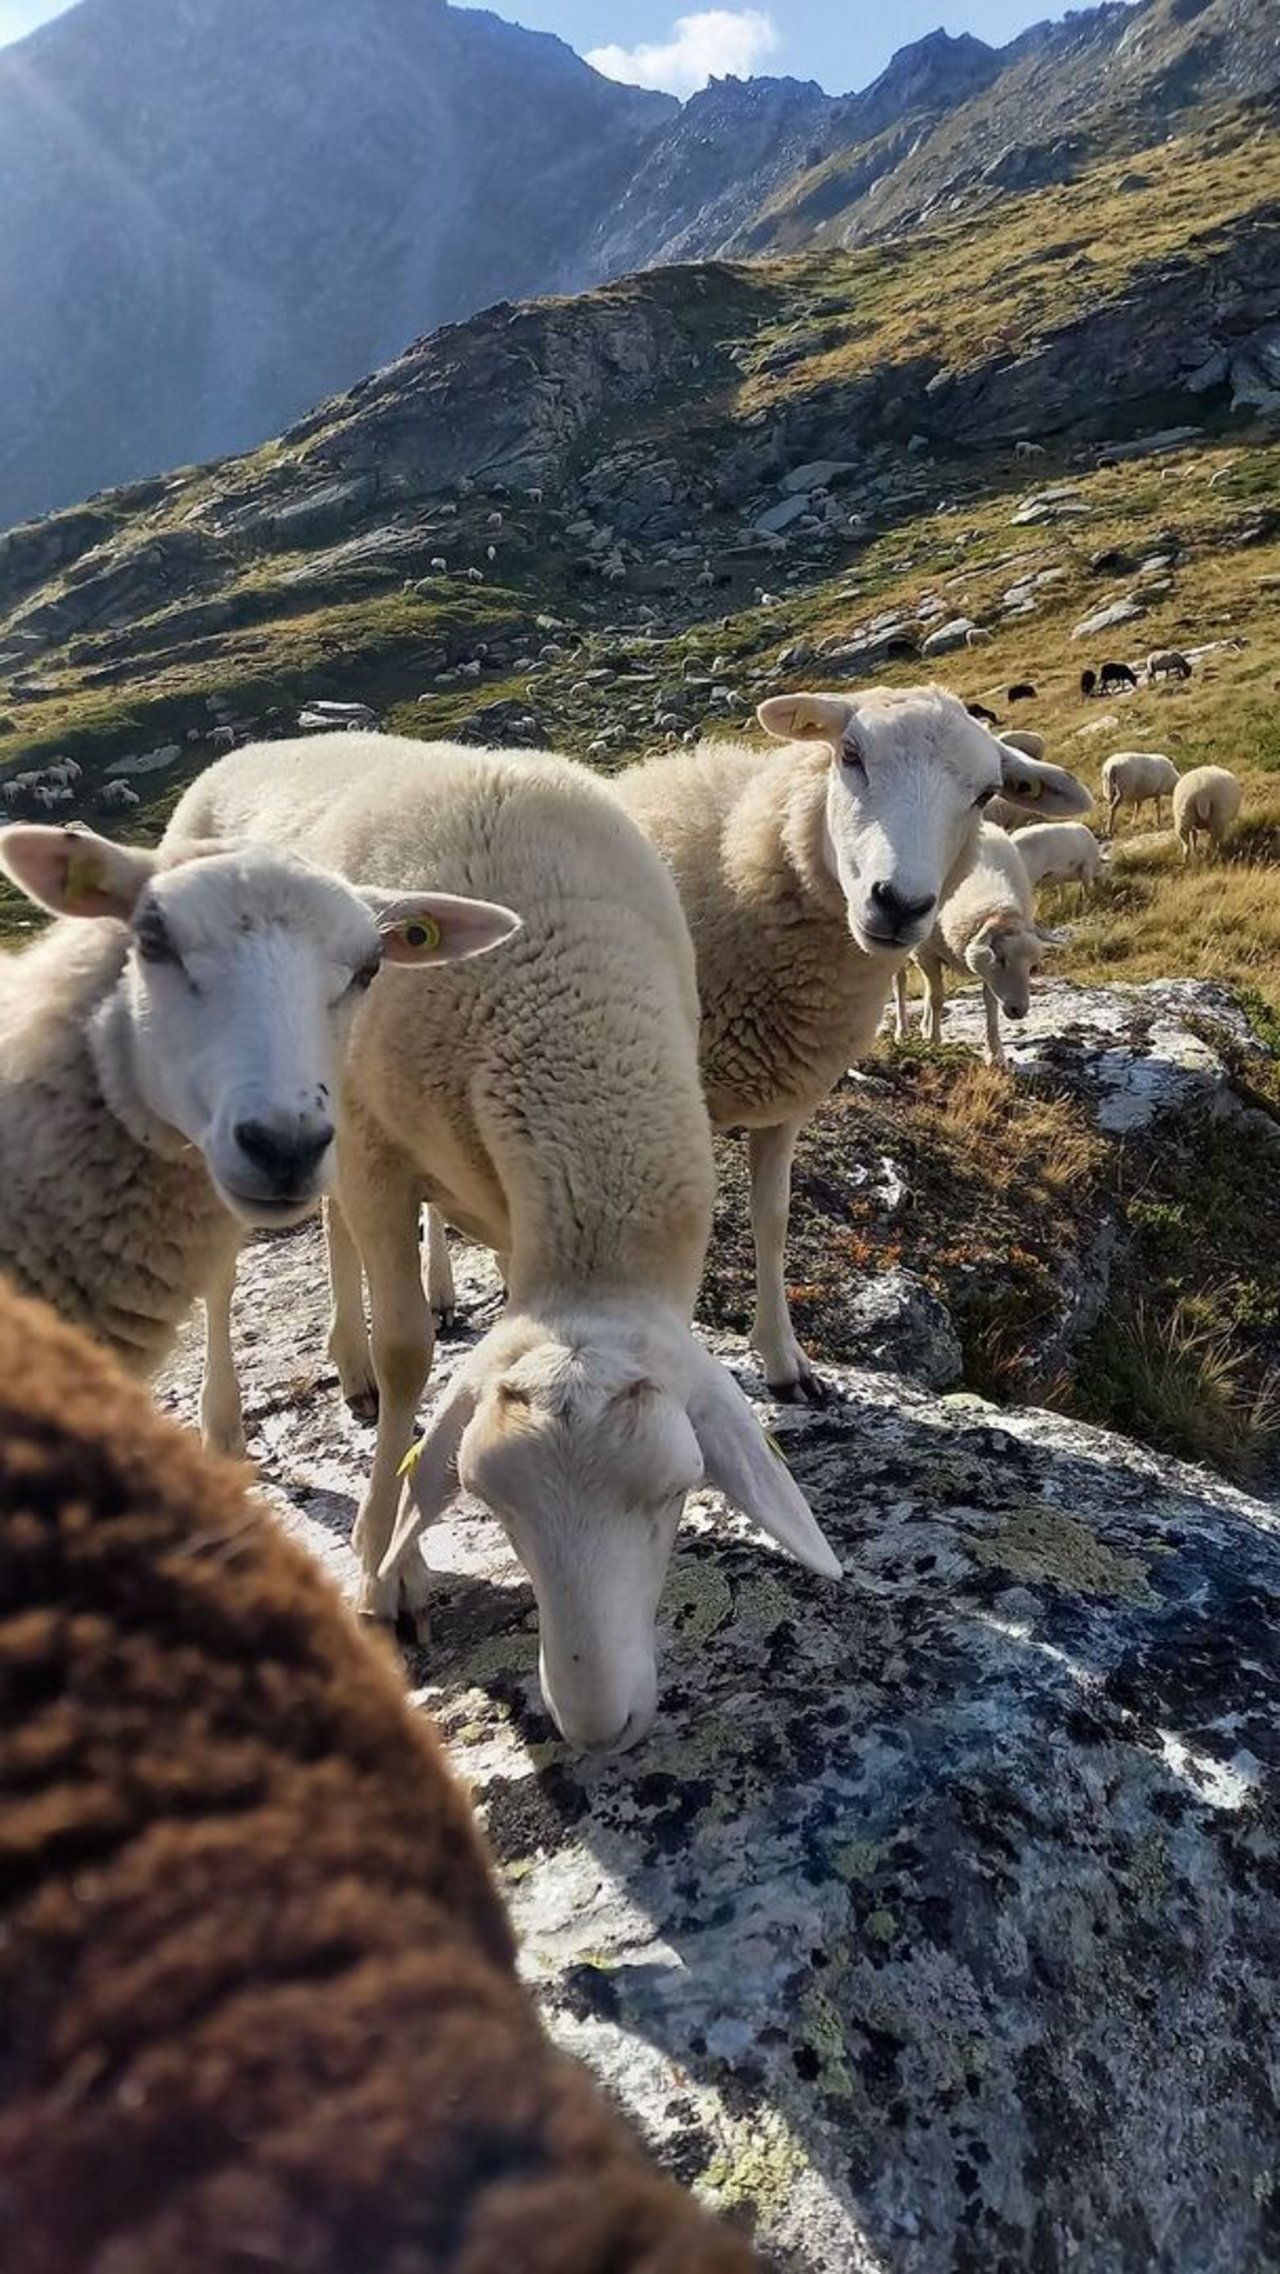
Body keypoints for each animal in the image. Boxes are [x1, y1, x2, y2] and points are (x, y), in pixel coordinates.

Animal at [166, 735, 839, 1753]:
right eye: (493, 1504)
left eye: (676, 1492)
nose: (596, 1723)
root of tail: (247, 753)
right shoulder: (376, 1150)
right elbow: (411, 1355)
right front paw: (387, 1564)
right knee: (223, 1271)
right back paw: (225, 1427)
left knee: (333, 1232)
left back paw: (344, 1361)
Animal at [896, 824, 1047, 1068]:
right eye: (1001, 959)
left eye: (1032, 967)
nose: (1019, 1010)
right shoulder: (925, 953)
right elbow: (937, 998)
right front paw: (935, 1042)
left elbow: (990, 1005)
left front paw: (995, 1054)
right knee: (900, 982)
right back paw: (902, 1032)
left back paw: (924, 1027)